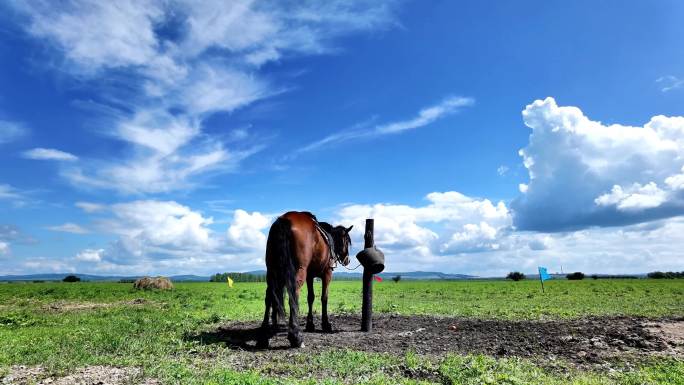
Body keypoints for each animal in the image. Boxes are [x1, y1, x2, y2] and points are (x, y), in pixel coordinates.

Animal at [258, 210, 352, 348]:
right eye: (347, 241)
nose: (347, 260)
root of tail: (284, 220)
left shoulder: (310, 276)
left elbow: (310, 297)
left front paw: (310, 324)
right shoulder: (327, 274)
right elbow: (324, 298)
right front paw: (325, 324)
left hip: (272, 271)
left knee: (269, 295)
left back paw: (264, 334)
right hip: (298, 271)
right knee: (293, 295)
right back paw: (295, 337)